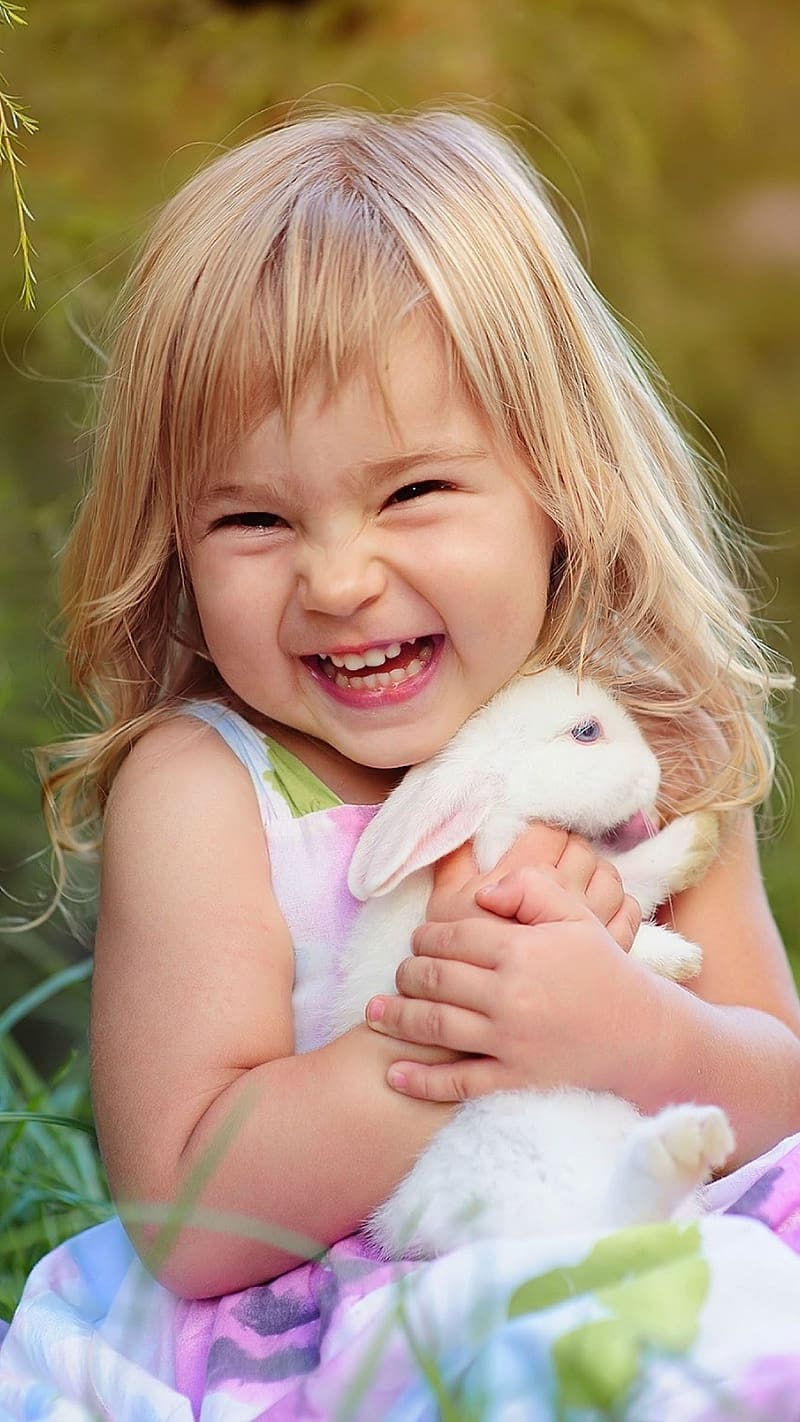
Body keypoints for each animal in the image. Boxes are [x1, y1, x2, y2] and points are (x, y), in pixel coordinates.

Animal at [333, 671, 738, 1262]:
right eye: (586, 732)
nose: (654, 772)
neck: (498, 812)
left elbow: (631, 884)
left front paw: (699, 836)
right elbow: (616, 916)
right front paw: (682, 956)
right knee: (617, 1226)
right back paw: (682, 1146)